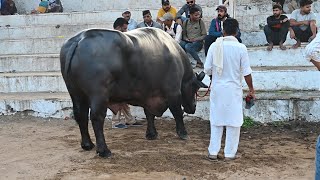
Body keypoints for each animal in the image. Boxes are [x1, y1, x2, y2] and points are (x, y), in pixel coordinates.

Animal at [60, 27, 205, 158]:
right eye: (195, 88)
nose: (193, 107)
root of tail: (80, 39)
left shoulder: (149, 94)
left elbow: (149, 114)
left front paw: (151, 133)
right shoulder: (173, 92)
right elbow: (177, 113)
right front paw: (183, 133)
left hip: (76, 94)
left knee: (81, 116)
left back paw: (87, 144)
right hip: (98, 95)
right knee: (96, 118)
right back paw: (104, 150)